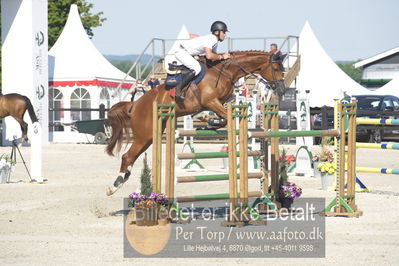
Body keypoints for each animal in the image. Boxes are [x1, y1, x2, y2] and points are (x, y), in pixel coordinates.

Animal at [104, 50, 286, 195]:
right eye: (276, 69)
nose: (282, 90)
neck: (225, 72)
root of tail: (135, 104)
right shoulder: (210, 101)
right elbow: (225, 118)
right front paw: (211, 121)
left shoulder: (223, 100)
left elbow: (226, 112)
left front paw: (210, 121)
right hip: (145, 133)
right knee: (127, 156)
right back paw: (115, 186)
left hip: (150, 136)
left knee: (132, 157)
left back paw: (124, 181)